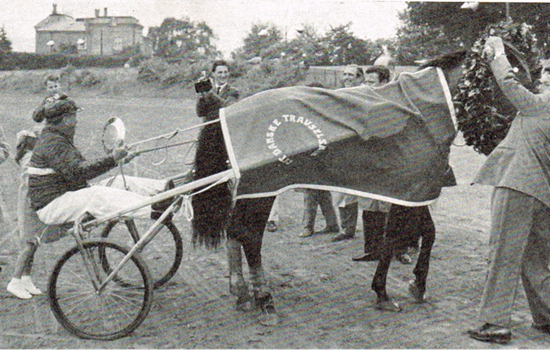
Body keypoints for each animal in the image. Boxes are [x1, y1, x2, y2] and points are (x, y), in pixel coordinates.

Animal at [192, 49, 524, 320]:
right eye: (509, 76)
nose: (519, 116)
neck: (419, 111)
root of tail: (225, 112)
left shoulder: (412, 192)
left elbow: (427, 234)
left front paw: (417, 284)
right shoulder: (406, 189)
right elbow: (393, 239)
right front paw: (383, 293)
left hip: (253, 191)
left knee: (235, 231)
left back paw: (242, 292)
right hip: (262, 189)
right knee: (248, 235)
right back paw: (264, 299)